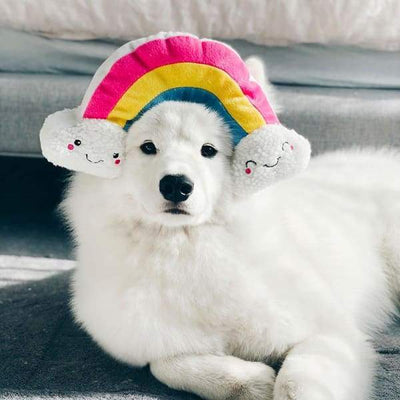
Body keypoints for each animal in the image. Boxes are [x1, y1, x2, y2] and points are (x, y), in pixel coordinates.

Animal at [63, 60, 400, 400]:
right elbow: (166, 365)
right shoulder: (152, 341)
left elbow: (298, 383)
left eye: (208, 150)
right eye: (148, 147)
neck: (190, 250)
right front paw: (251, 381)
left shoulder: (331, 333)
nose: (176, 185)